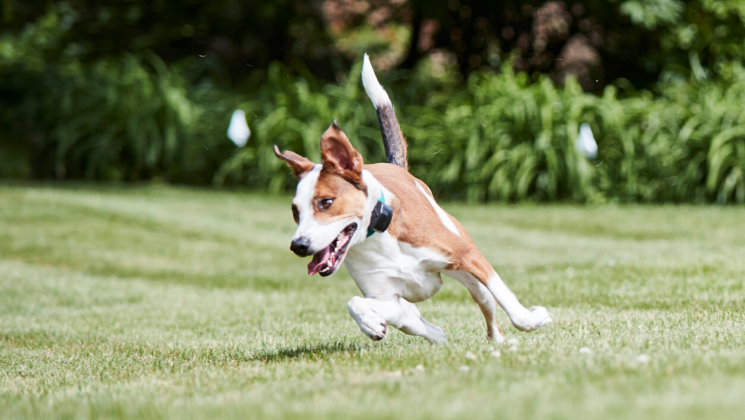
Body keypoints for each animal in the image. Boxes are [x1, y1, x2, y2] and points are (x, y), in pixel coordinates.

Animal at [270, 54, 548, 342]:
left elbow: (505, 298)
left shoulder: (468, 256)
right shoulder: (384, 294)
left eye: (326, 202)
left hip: (467, 271)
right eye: (295, 211)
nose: (298, 245)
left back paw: (498, 341)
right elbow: (356, 303)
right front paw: (371, 323)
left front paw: (533, 319)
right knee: (414, 319)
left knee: (486, 304)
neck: (380, 234)